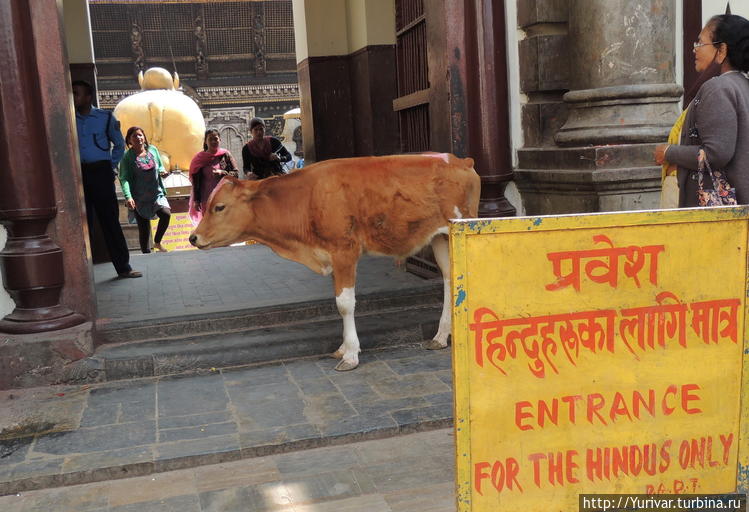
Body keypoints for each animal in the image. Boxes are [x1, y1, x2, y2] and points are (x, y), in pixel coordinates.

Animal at [188, 154, 480, 370]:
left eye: (219, 207)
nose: (193, 237)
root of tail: (460, 160)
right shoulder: (329, 256)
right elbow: (337, 300)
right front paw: (342, 348)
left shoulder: (344, 251)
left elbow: (344, 304)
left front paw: (351, 354)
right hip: (440, 237)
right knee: (450, 277)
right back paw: (440, 337)